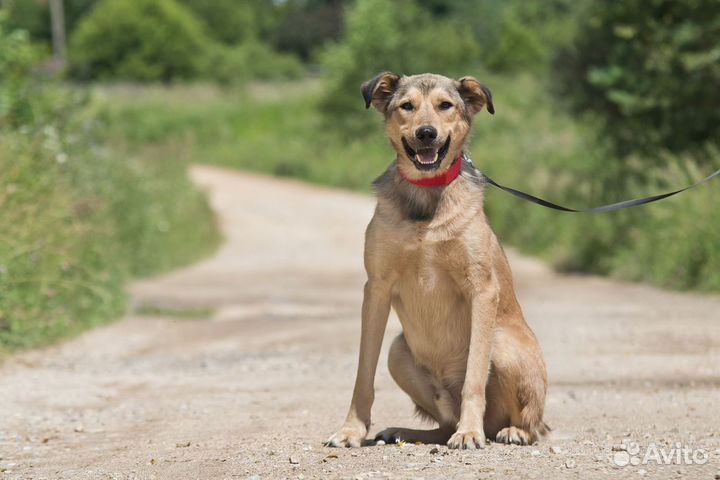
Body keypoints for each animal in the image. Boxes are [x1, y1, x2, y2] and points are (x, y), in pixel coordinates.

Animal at [324, 72, 544, 450]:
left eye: (445, 105)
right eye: (406, 106)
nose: (426, 133)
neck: (427, 196)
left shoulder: (482, 289)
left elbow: (474, 376)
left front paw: (469, 432)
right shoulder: (376, 288)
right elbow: (363, 374)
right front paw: (352, 430)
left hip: (502, 343)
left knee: (530, 425)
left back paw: (507, 431)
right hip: (398, 352)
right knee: (443, 424)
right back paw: (406, 432)